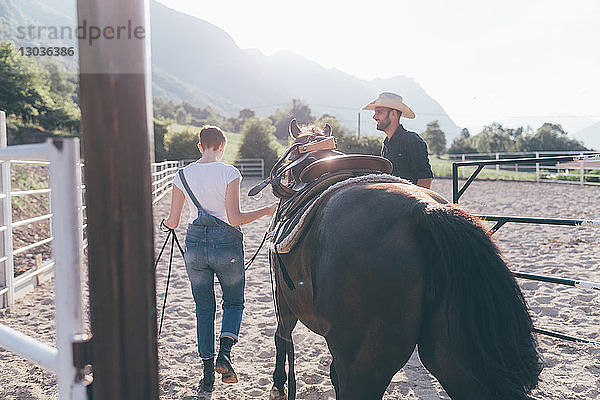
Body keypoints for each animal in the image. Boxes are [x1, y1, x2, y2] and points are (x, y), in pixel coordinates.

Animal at [258, 119, 544, 400]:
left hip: (364, 365)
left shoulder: (283, 298)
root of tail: (423, 210)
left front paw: (278, 386)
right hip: (455, 360)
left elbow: (282, 337)